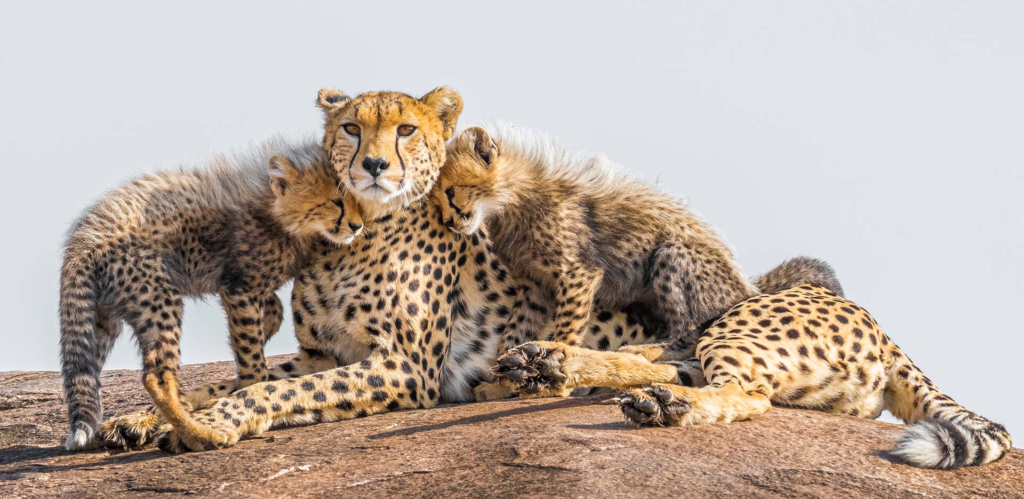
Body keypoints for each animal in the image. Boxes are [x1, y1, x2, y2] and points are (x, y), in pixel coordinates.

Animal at [60, 138, 362, 451]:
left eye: (360, 200)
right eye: (336, 201)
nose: (357, 225)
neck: (276, 210)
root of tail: (82, 240)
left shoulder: (243, 285)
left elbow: (272, 313)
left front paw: (263, 331)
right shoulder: (240, 286)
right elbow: (252, 355)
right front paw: (249, 388)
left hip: (101, 319)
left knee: (84, 372)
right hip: (158, 299)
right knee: (157, 376)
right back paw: (201, 434)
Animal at [492, 285, 1013, 470]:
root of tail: (886, 336)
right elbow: (641, 356)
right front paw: (543, 366)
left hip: (736, 332)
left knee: (751, 395)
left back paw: (664, 405)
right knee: (676, 369)